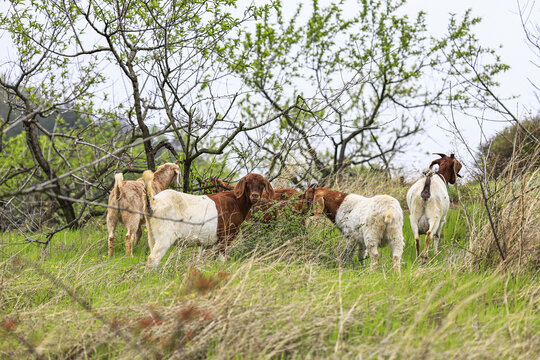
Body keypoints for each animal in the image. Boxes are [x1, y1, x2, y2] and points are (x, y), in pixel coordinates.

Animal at [142, 172, 274, 268]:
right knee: (153, 258)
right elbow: (221, 259)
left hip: (152, 235)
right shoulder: (226, 236)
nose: (255, 195)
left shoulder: (207, 242)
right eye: (247, 183)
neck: (236, 202)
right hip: (165, 235)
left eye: (262, 184)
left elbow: (201, 258)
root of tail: (154, 201)